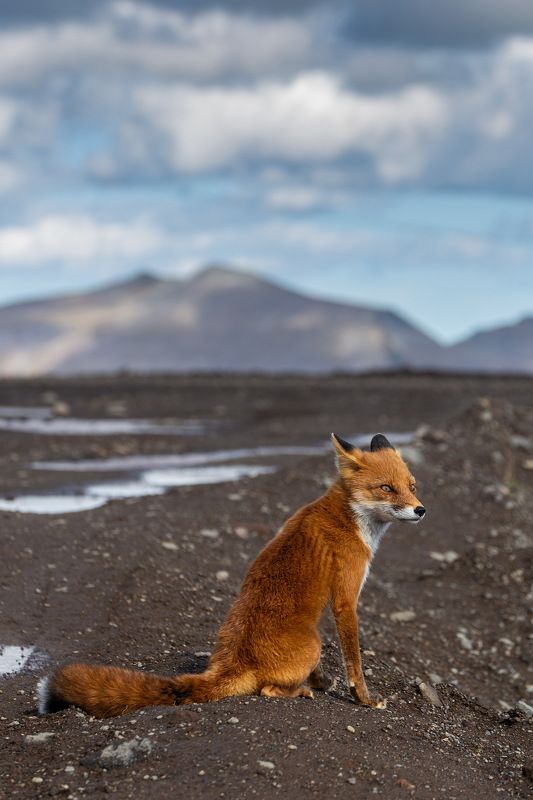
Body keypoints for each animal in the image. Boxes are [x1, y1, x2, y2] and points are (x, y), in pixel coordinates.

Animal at [36, 433, 425, 718]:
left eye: (412, 486)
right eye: (386, 488)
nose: (421, 510)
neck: (348, 516)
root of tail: (236, 659)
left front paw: (324, 681)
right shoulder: (345, 600)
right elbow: (354, 663)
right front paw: (364, 699)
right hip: (313, 642)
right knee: (267, 690)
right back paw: (298, 691)